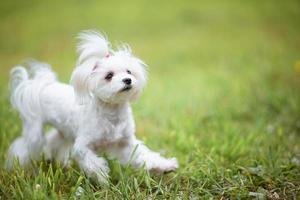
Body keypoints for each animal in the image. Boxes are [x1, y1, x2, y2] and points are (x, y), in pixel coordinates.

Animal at [5, 30, 178, 184]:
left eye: (129, 71)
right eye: (109, 76)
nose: (127, 80)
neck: (112, 113)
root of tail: (41, 85)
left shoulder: (126, 143)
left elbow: (144, 155)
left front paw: (165, 166)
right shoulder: (82, 146)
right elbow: (93, 163)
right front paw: (102, 178)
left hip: (65, 131)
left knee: (54, 140)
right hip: (34, 130)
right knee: (23, 146)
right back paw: (18, 167)